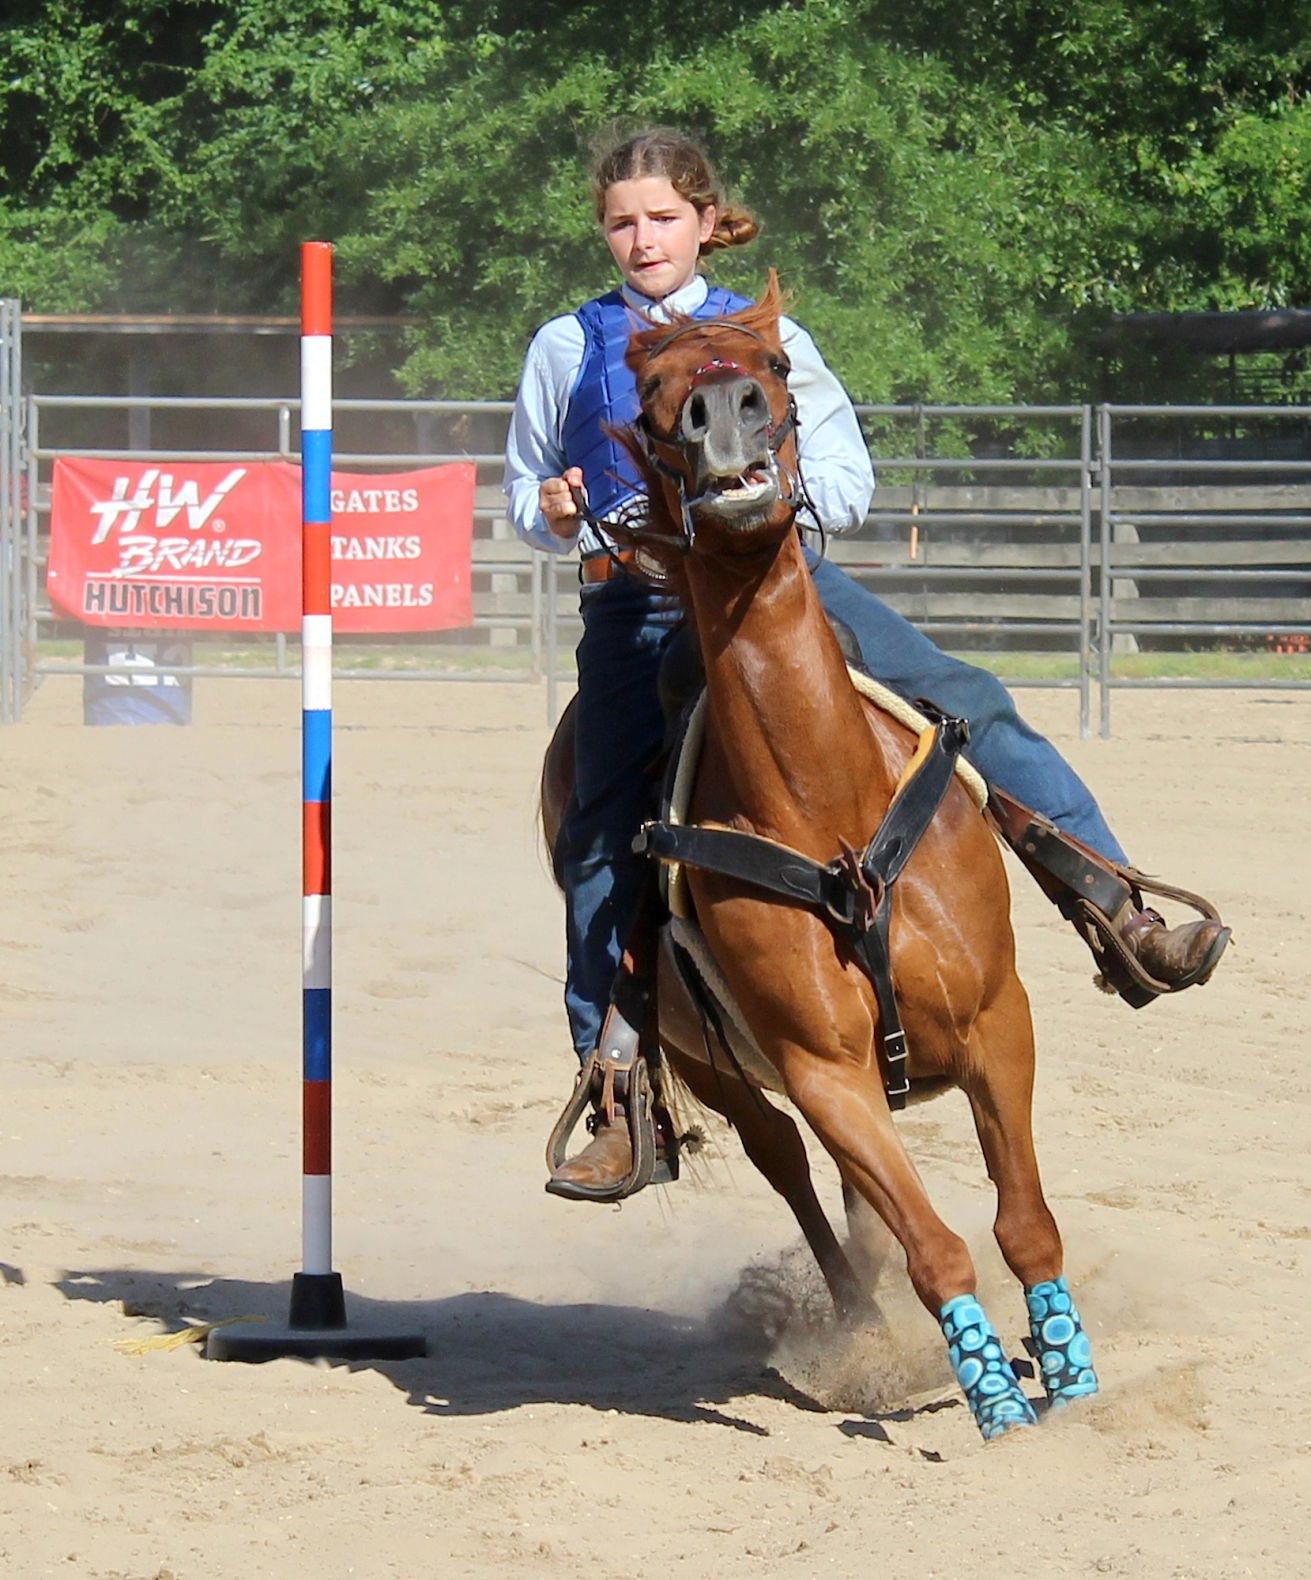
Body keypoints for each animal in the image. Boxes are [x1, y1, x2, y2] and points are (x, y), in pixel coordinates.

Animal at [537, 278, 1099, 1440]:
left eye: (778, 366)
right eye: (652, 393)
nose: (726, 414)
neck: (827, 805)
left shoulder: (998, 1021)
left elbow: (1023, 1220)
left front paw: (1069, 1371)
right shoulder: (821, 1070)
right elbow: (935, 1246)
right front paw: (988, 1398)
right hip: (719, 1066)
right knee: (794, 1169)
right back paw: (860, 1329)